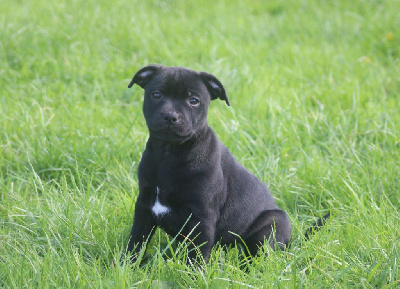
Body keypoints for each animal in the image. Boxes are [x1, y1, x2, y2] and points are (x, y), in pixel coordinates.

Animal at [126, 64, 290, 262]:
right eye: (156, 95)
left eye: (194, 101)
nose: (170, 116)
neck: (169, 152)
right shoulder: (144, 205)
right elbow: (137, 239)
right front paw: (127, 263)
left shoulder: (202, 217)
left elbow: (198, 253)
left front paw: (193, 271)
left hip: (273, 223)